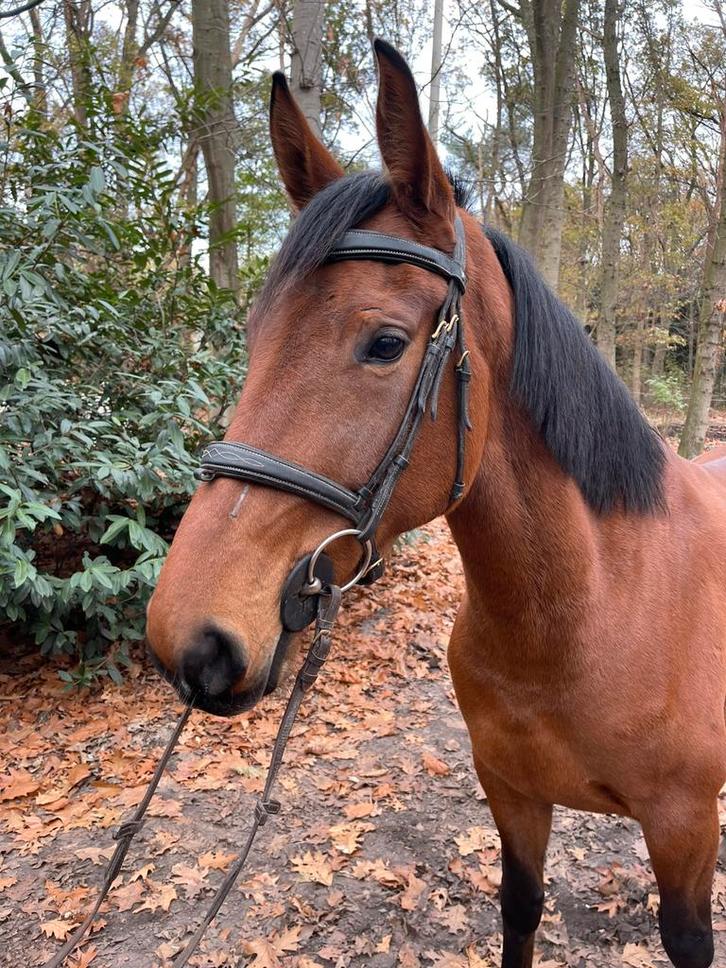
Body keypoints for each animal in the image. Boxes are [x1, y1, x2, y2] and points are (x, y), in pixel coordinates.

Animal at [146, 39, 726, 968]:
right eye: (252, 337)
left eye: (385, 343)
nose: (189, 638)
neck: (594, 611)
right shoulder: (513, 796)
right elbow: (521, 908)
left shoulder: (684, 832)